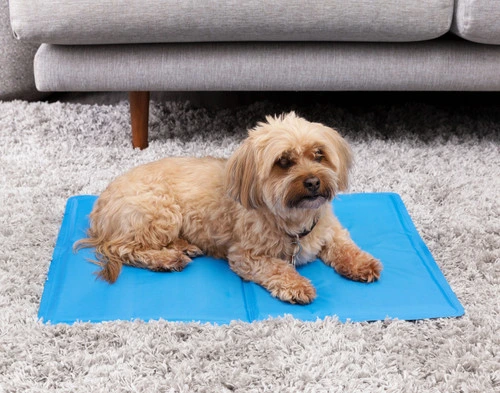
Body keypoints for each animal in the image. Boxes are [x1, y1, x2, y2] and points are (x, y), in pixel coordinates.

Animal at [74, 112, 380, 304]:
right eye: (283, 162)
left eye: (319, 154)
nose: (314, 182)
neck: (294, 220)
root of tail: (98, 210)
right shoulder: (246, 255)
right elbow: (277, 268)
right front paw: (297, 285)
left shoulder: (330, 229)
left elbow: (345, 246)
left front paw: (362, 264)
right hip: (158, 211)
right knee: (124, 249)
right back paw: (167, 259)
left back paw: (183, 247)